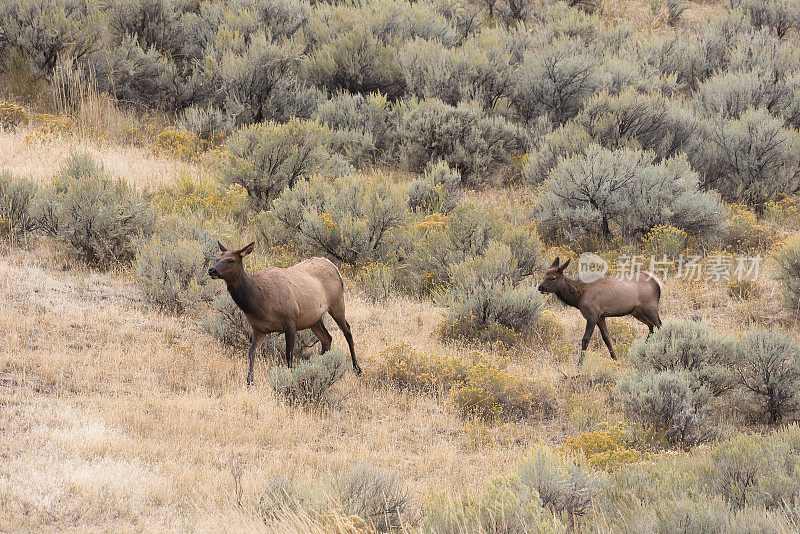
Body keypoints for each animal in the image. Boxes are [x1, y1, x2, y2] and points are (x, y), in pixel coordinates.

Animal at [208, 243, 360, 386]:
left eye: (231, 260)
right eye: (217, 259)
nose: (212, 270)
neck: (258, 304)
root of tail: (335, 267)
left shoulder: (290, 320)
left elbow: (288, 354)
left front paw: (291, 378)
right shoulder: (258, 329)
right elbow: (251, 352)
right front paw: (249, 382)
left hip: (337, 303)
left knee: (347, 331)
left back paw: (357, 368)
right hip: (313, 319)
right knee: (327, 338)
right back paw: (318, 366)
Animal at [536, 258, 664, 364]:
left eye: (553, 277)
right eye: (543, 276)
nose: (540, 287)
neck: (578, 298)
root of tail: (658, 283)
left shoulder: (592, 315)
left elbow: (585, 339)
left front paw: (579, 364)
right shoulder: (600, 317)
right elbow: (606, 337)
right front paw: (615, 360)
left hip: (650, 307)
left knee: (659, 325)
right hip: (637, 311)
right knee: (651, 326)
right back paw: (643, 351)